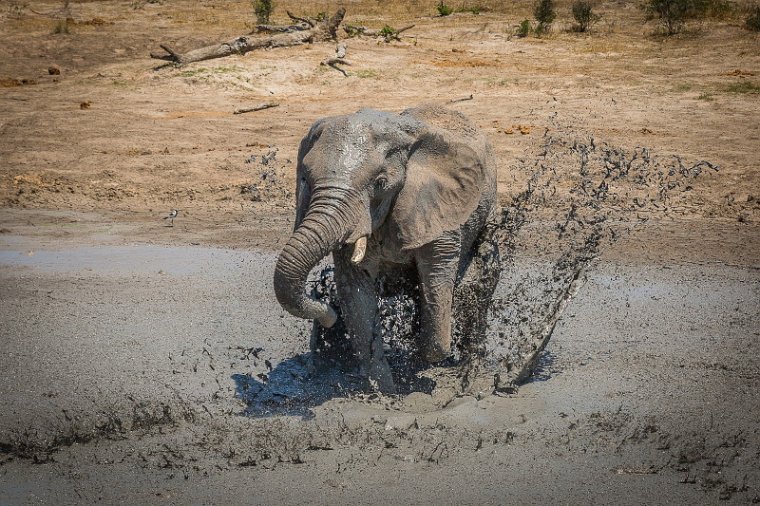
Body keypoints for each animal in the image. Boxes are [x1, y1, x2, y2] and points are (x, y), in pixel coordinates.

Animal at [274, 105, 498, 394]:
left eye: (380, 183)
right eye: (305, 178)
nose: (329, 315)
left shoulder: (438, 208)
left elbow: (437, 282)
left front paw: (420, 365)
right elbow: (356, 293)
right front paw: (383, 392)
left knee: (481, 278)